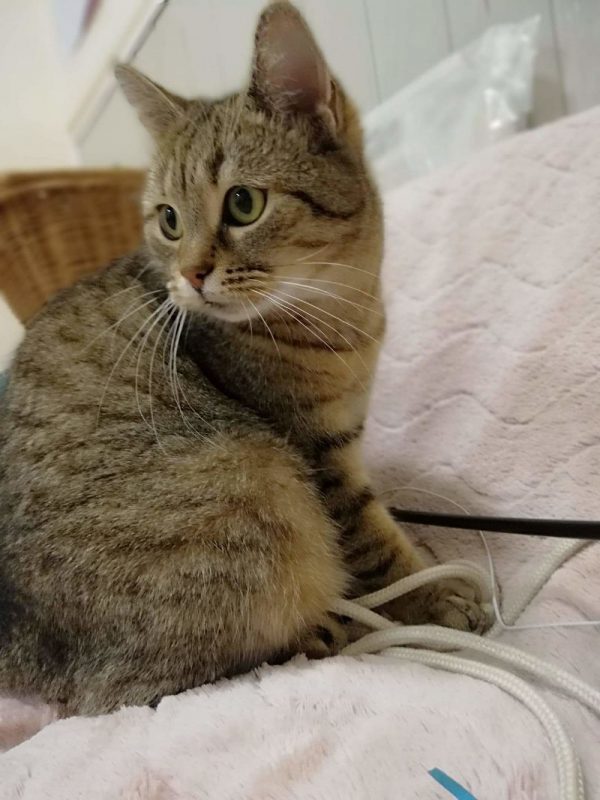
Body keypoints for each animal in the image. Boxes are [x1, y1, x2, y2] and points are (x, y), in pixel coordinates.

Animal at [0, 2, 487, 716]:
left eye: (243, 202)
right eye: (170, 220)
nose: (190, 274)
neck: (345, 312)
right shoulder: (316, 451)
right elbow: (375, 542)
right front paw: (434, 594)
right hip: (253, 483)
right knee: (147, 686)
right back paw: (321, 628)